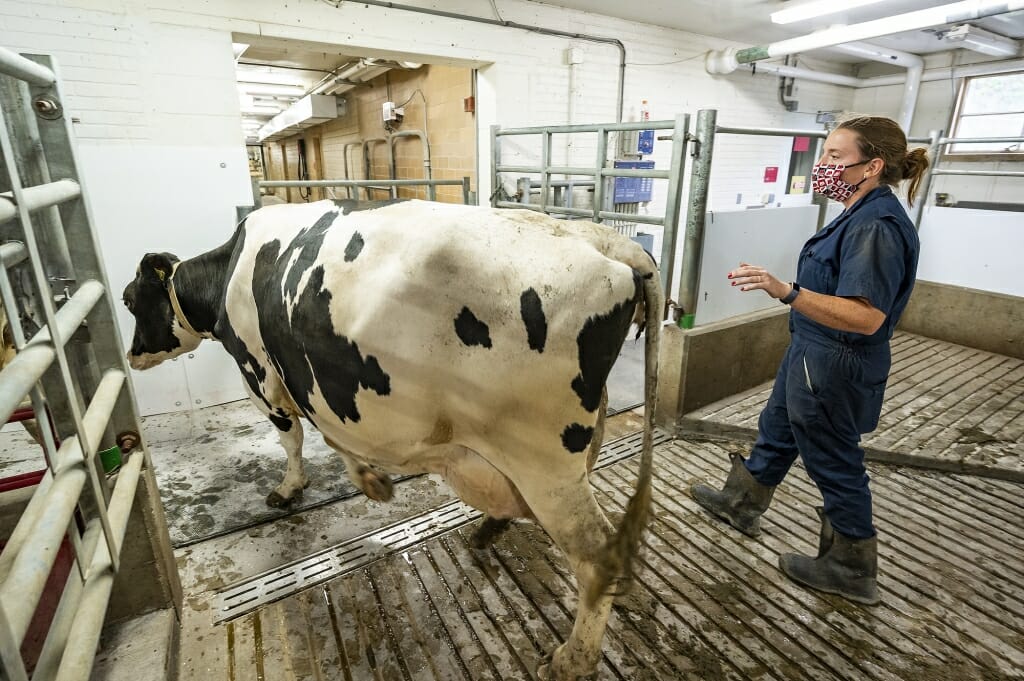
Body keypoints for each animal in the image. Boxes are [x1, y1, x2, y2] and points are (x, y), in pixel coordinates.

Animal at [121, 197, 663, 679]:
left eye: (128, 300)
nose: (131, 355)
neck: (232, 270)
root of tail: (608, 242)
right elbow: (329, 435)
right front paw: (368, 478)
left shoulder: (262, 373)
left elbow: (297, 437)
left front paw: (299, 487)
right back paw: (490, 528)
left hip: (542, 457)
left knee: (595, 556)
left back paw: (571, 661)